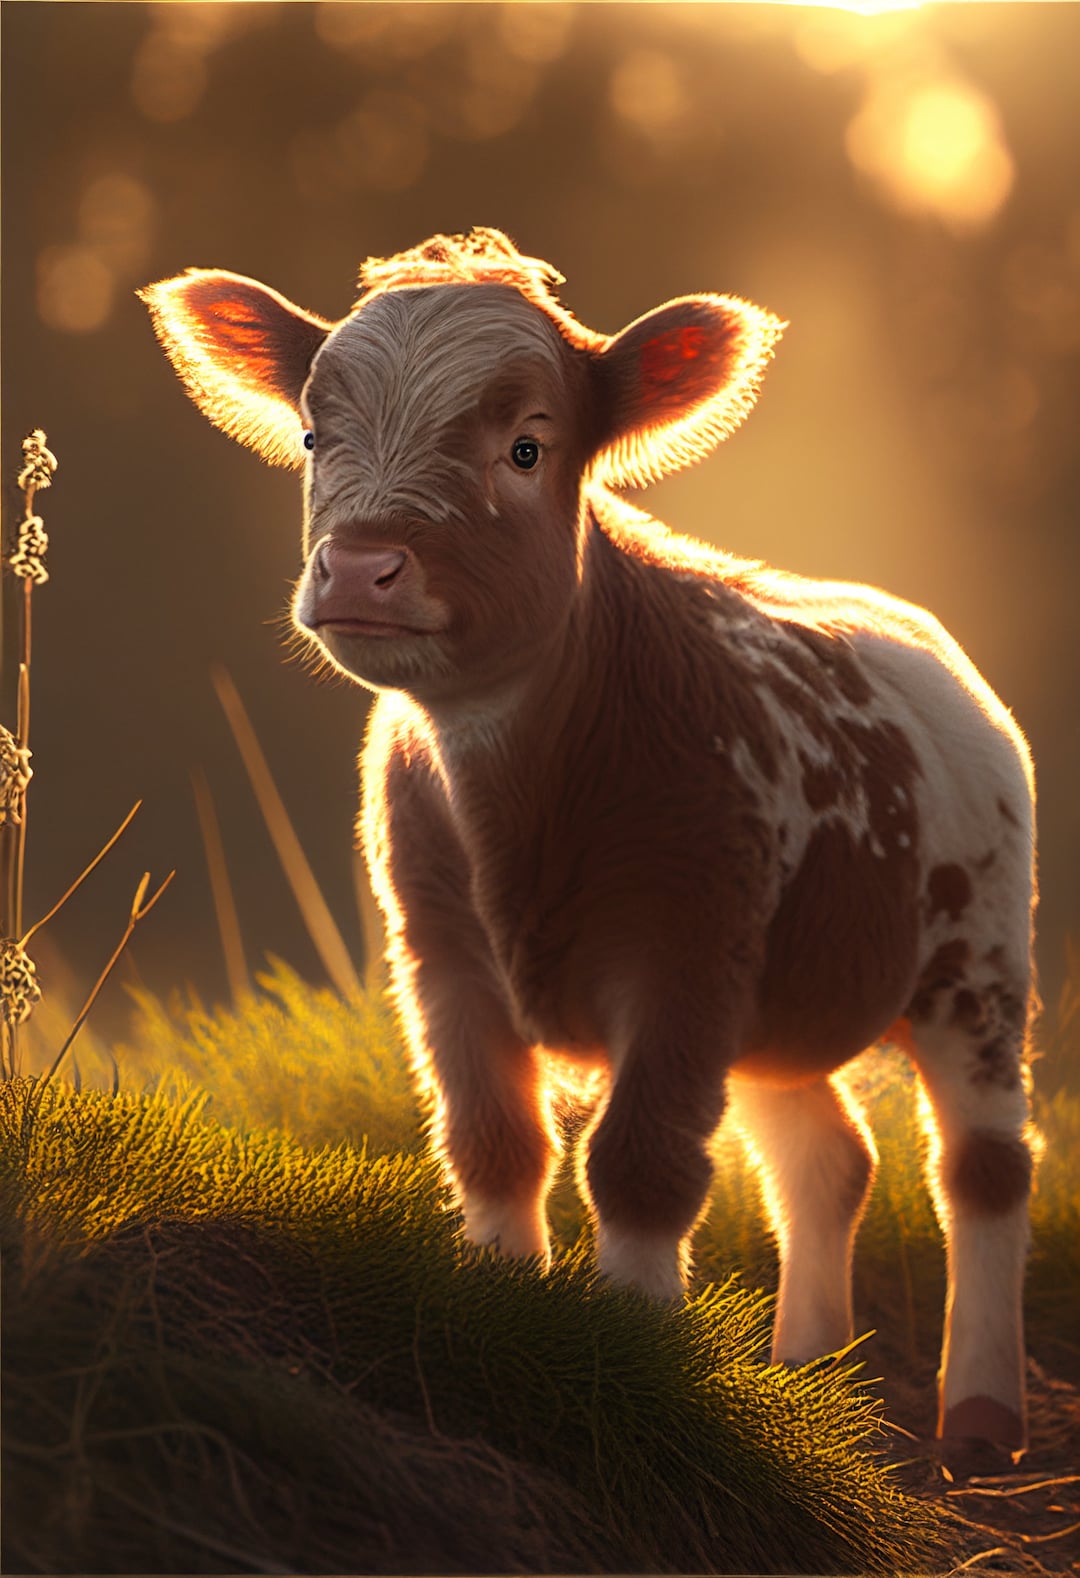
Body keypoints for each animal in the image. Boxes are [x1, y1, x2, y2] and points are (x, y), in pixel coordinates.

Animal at [142, 227, 1037, 1452]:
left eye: (526, 447)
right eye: (317, 435)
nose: (361, 565)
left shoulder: (686, 951)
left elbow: (642, 1160)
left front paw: (636, 1350)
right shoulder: (440, 953)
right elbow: (493, 1140)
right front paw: (501, 1305)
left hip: (977, 962)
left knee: (982, 1168)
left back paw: (980, 1415)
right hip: (779, 1006)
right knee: (824, 1158)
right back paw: (811, 1364)